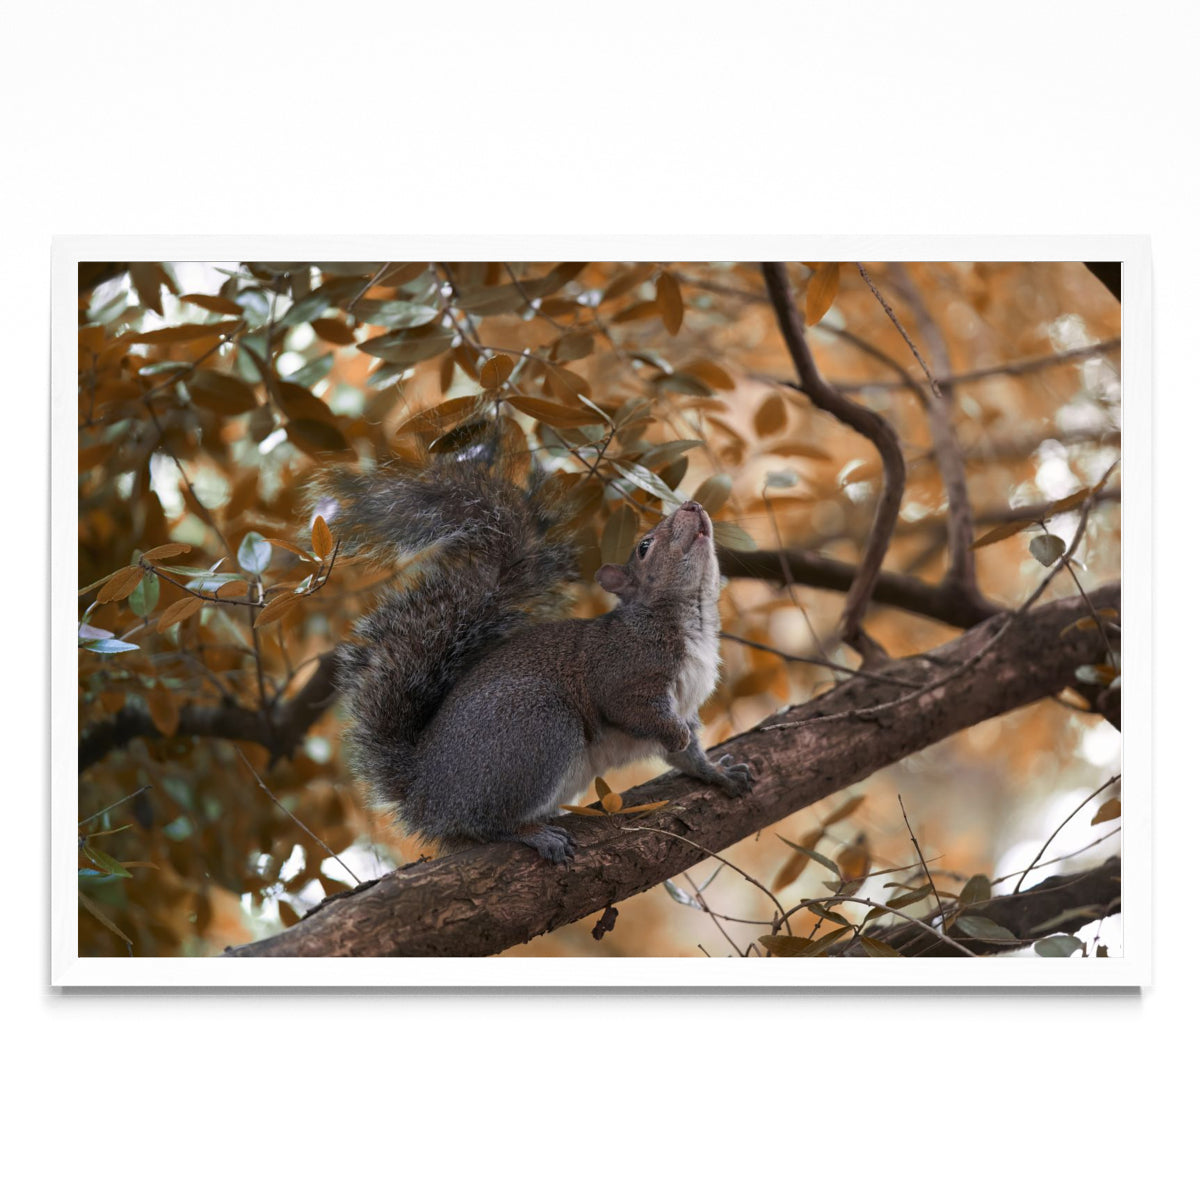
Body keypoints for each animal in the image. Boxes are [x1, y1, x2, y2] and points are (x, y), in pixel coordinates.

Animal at [314, 450, 754, 864]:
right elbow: (635, 711)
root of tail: (425, 794)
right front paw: (675, 735)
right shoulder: (623, 670)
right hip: (537, 728)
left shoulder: (687, 701)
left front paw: (719, 773)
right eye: (644, 547)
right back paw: (533, 833)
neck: (692, 617)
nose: (692, 506)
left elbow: (689, 756)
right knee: (486, 823)